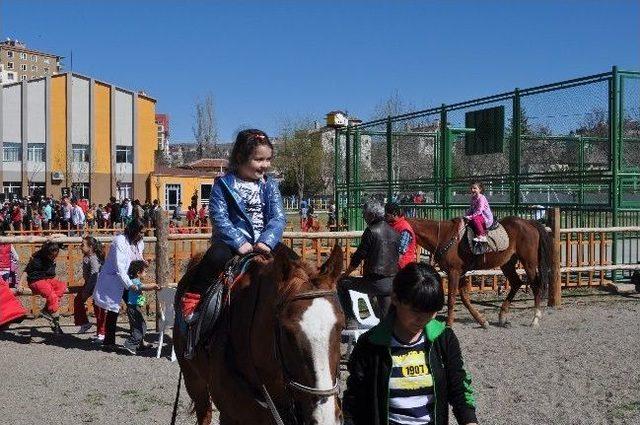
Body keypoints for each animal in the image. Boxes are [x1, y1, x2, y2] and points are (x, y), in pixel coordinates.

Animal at [408, 217, 552, 326]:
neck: (444, 236)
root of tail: (529, 222)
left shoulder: (454, 272)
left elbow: (452, 298)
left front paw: (449, 323)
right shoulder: (460, 272)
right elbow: (465, 298)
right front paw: (482, 321)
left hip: (529, 263)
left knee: (535, 286)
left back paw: (535, 319)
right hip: (508, 263)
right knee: (516, 283)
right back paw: (502, 316)